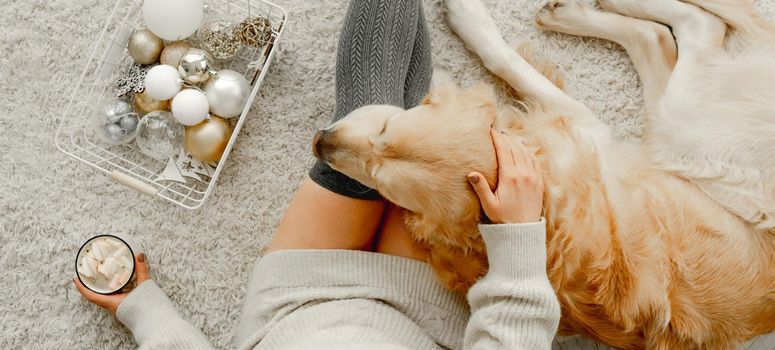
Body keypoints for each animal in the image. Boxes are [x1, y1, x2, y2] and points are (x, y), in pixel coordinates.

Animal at [312, 0, 772, 348]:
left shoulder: (586, 127)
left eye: (385, 138)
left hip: (688, 120)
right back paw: (575, 13)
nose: (320, 143)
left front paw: (468, 22)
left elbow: (507, 62)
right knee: (664, 37)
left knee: (702, 25)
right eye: (378, 175)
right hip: (667, 130)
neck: (548, 208)